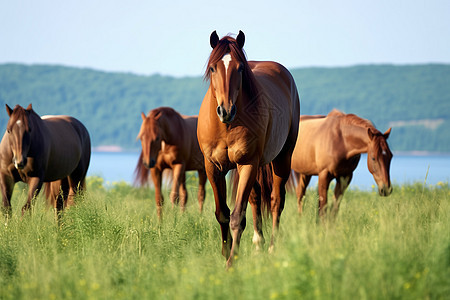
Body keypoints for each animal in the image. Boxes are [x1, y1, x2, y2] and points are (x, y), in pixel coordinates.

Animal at [198, 31, 300, 268]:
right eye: (213, 68)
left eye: (240, 68)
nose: (225, 110)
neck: (225, 126)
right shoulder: (213, 168)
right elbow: (222, 213)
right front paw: (226, 252)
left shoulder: (247, 164)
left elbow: (237, 217)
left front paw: (231, 263)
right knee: (255, 199)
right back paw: (257, 245)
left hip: (281, 159)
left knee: (276, 201)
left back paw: (271, 248)